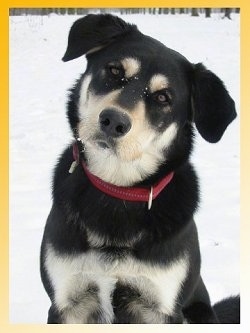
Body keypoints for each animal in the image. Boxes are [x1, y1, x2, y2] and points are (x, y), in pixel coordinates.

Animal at [40, 14, 239, 322]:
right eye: (114, 70)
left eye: (163, 98)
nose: (113, 121)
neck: (117, 189)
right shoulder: (66, 301)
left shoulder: (161, 307)